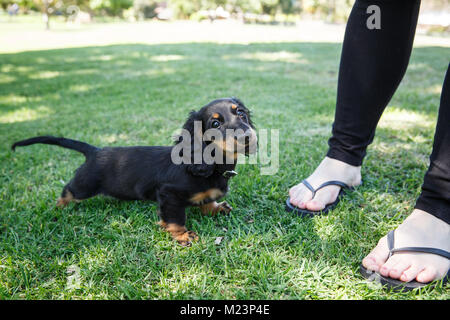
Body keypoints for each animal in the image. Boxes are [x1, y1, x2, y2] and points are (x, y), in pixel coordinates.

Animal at [11, 97, 256, 245]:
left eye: (241, 114)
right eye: (215, 124)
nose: (247, 137)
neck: (212, 166)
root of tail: (95, 151)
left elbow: (207, 201)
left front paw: (215, 208)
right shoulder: (168, 194)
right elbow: (175, 218)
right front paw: (183, 235)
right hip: (84, 185)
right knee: (68, 191)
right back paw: (59, 207)